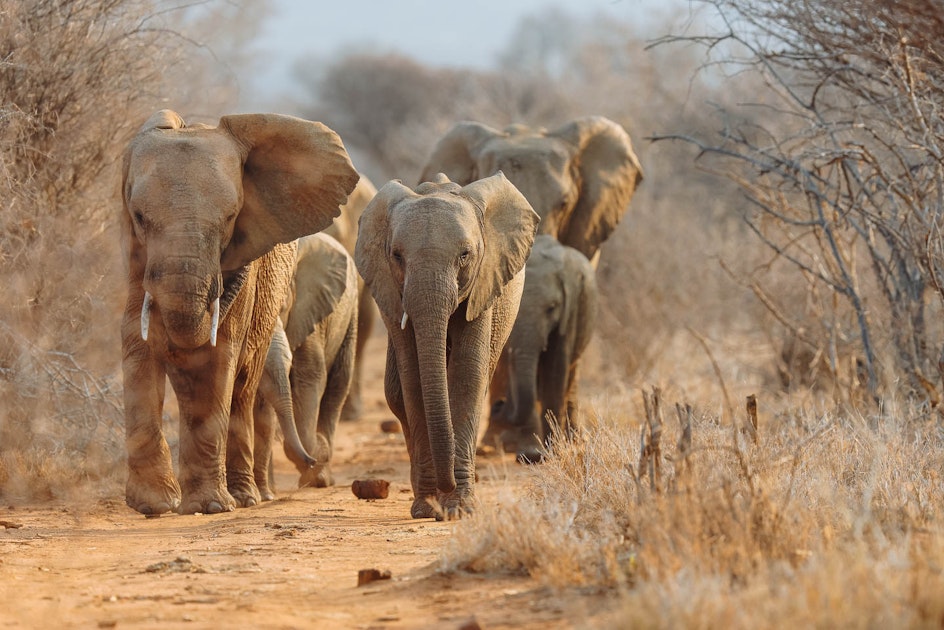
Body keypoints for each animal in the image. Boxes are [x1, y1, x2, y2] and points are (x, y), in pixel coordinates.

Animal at [253, 232, 359, 498]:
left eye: (281, 307)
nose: (315, 457)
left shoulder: (309, 312)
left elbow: (309, 377)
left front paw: (317, 468)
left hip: (350, 315)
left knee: (338, 386)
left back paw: (324, 474)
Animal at [355, 173, 539, 519]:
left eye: (465, 254)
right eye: (396, 255)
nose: (448, 484)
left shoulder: (484, 282)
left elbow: (467, 377)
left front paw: (460, 508)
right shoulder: (393, 290)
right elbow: (414, 381)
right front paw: (428, 508)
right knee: (396, 393)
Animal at [488, 235, 598, 463]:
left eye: (551, 308)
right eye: (514, 310)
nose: (499, 404)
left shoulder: (570, 309)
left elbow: (556, 368)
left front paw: (551, 452)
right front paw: (530, 455)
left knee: (570, 375)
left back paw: (574, 440)